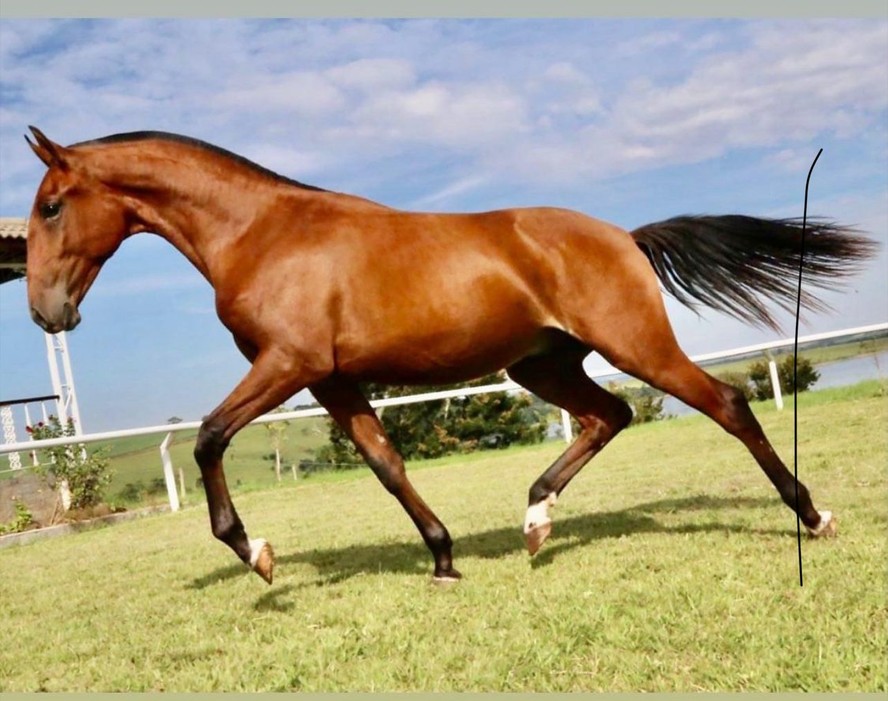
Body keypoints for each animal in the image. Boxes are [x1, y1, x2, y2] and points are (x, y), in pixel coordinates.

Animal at [20, 127, 876, 584]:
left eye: (52, 205)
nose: (45, 311)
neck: (262, 234)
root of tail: (623, 236)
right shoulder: (332, 381)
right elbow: (385, 462)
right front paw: (442, 558)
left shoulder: (288, 364)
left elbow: (206, 437)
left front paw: (257, 553)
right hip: (543, 363)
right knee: (608, 416)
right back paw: (535, 519)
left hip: (634, 344)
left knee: (726, 404)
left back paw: (815, 515)